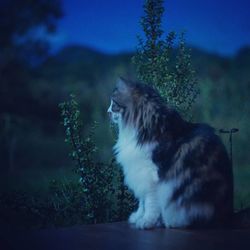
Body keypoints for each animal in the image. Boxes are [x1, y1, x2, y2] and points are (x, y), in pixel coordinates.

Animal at [108, 77, 234, 229]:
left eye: (114, 104)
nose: (108, 112)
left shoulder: (152, 176)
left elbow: (150, 205)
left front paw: (146, 222)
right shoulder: (140, 174)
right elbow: (142, 203)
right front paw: (137, 217)